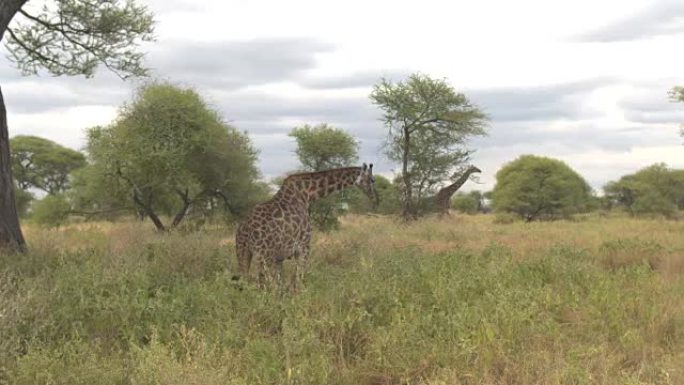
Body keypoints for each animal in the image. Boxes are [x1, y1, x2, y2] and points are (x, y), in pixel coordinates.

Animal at [232, 162, 376, 288]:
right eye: (372, 180)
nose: (375, 197)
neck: (307, 193)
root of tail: (245, 228)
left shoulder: (280, 256)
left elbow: (282, 283)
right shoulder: (304, 246)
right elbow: (298, 278)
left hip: (243, 251)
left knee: (247, 282)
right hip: (264, 255)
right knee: (266, 285)